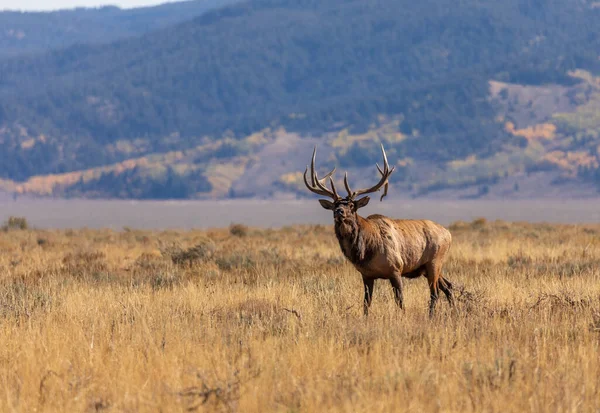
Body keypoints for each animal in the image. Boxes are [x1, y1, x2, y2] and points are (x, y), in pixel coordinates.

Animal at [304, 145, 454, 316]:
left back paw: (431, 316)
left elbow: (400, 301)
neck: (364, 252)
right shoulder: (366, 275)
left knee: (435, 292)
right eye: (335, 205)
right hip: (429, 267)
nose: (339, 212)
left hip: (435, 261)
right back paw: (454, 311)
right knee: (448, 287)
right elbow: (366, 303)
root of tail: (448, 234)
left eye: (352, 205)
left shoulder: (396, 269)